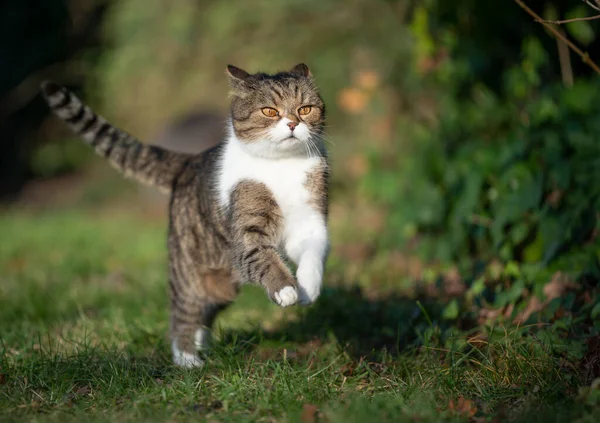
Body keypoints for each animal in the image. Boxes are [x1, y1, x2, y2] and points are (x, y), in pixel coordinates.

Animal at [41, 62, 332, 368]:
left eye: (305, 109)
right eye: (269, 111)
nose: (292, 124)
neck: (282, 167)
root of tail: (188, 161)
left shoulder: (310, 221)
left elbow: (313, 252)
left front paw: (308, 288)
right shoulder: (246, 232)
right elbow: (262, 257)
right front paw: (285, 289)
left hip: (221, 282)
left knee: (204, 310)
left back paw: (200, 345)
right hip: (188, 271)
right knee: (183, 312)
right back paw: (187, 359)